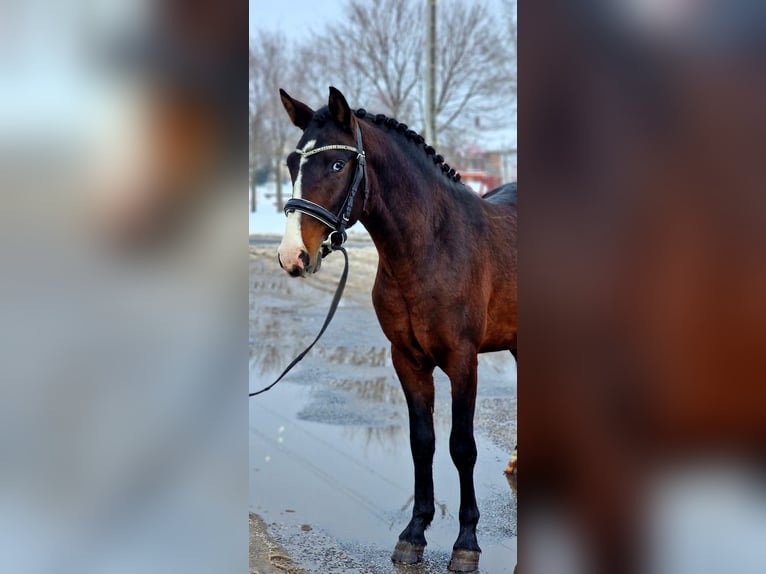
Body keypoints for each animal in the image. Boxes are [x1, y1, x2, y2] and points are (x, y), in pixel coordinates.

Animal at [275, 86, 517, 572]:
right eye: (292, 163)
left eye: (337, 164)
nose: (293, 256)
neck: (431, 246)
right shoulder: (406, 359)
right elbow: (421, 441)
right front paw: (414, 533)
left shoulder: (463, 361)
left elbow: (462, 446)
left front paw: (466, 542)